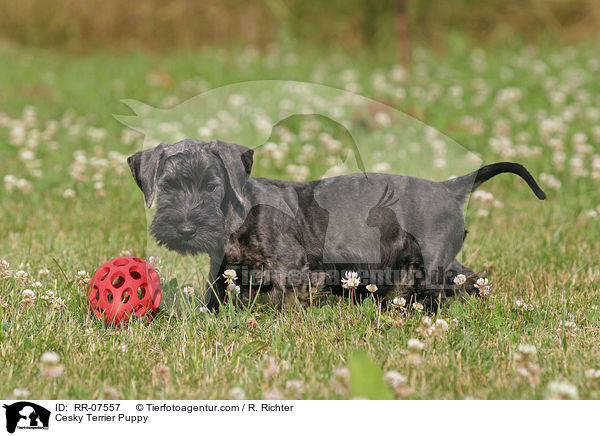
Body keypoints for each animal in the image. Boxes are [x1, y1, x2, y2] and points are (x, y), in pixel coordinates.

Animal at [129, 139, 548, 306]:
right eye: (167, 187)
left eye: (212, 187)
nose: (185, 229)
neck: (239, 211)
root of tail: (449, 187)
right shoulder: (223, 270)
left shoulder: (290, 265)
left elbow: (284, 299)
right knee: (466, 278)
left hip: (433, 261)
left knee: (440, 293)